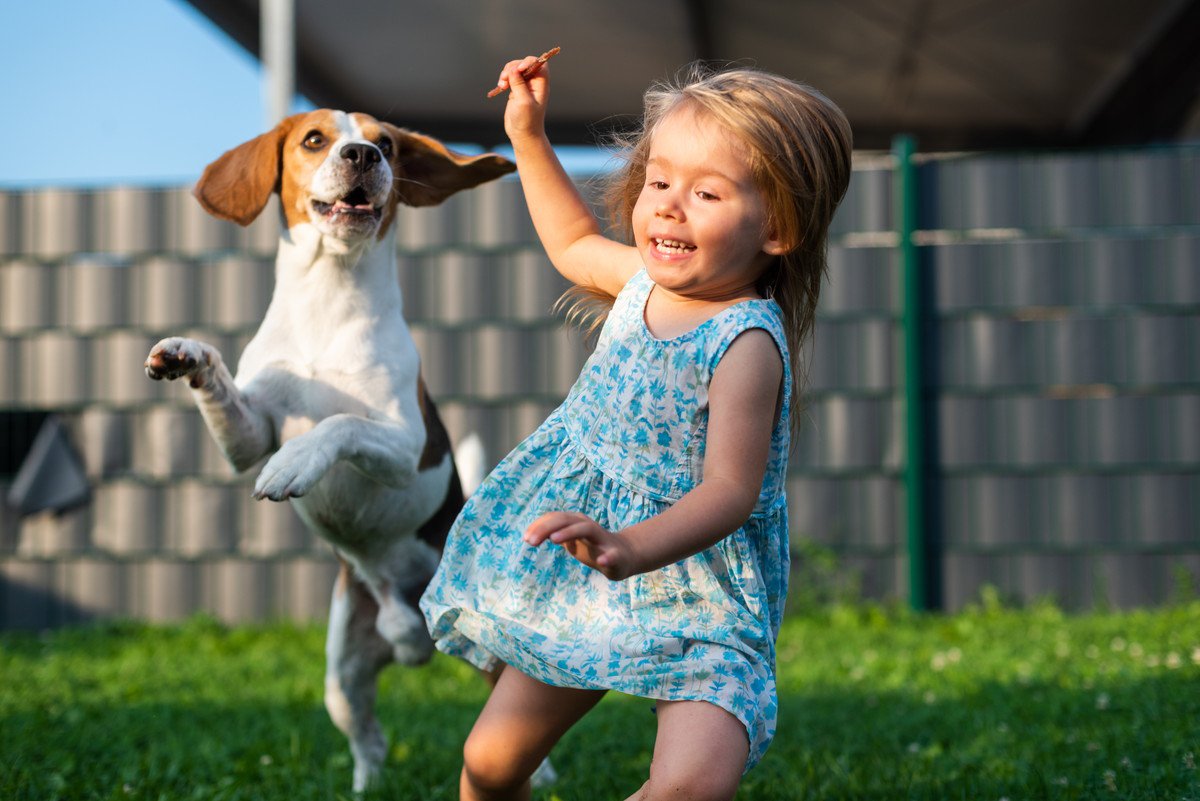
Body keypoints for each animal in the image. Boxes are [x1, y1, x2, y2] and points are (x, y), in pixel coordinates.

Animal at [144, 109, 511, 791]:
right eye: (314, 139)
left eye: (387, 142)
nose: (364, 154)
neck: (328, 298)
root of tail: (407, 627)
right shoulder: (248, 436)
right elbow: (226, 392)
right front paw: (188, 354)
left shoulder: (403, 447)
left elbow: (339, 423)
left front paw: (296, 463)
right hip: (343, 674)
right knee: (370, 738)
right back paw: (366, 788)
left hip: (488, 654)